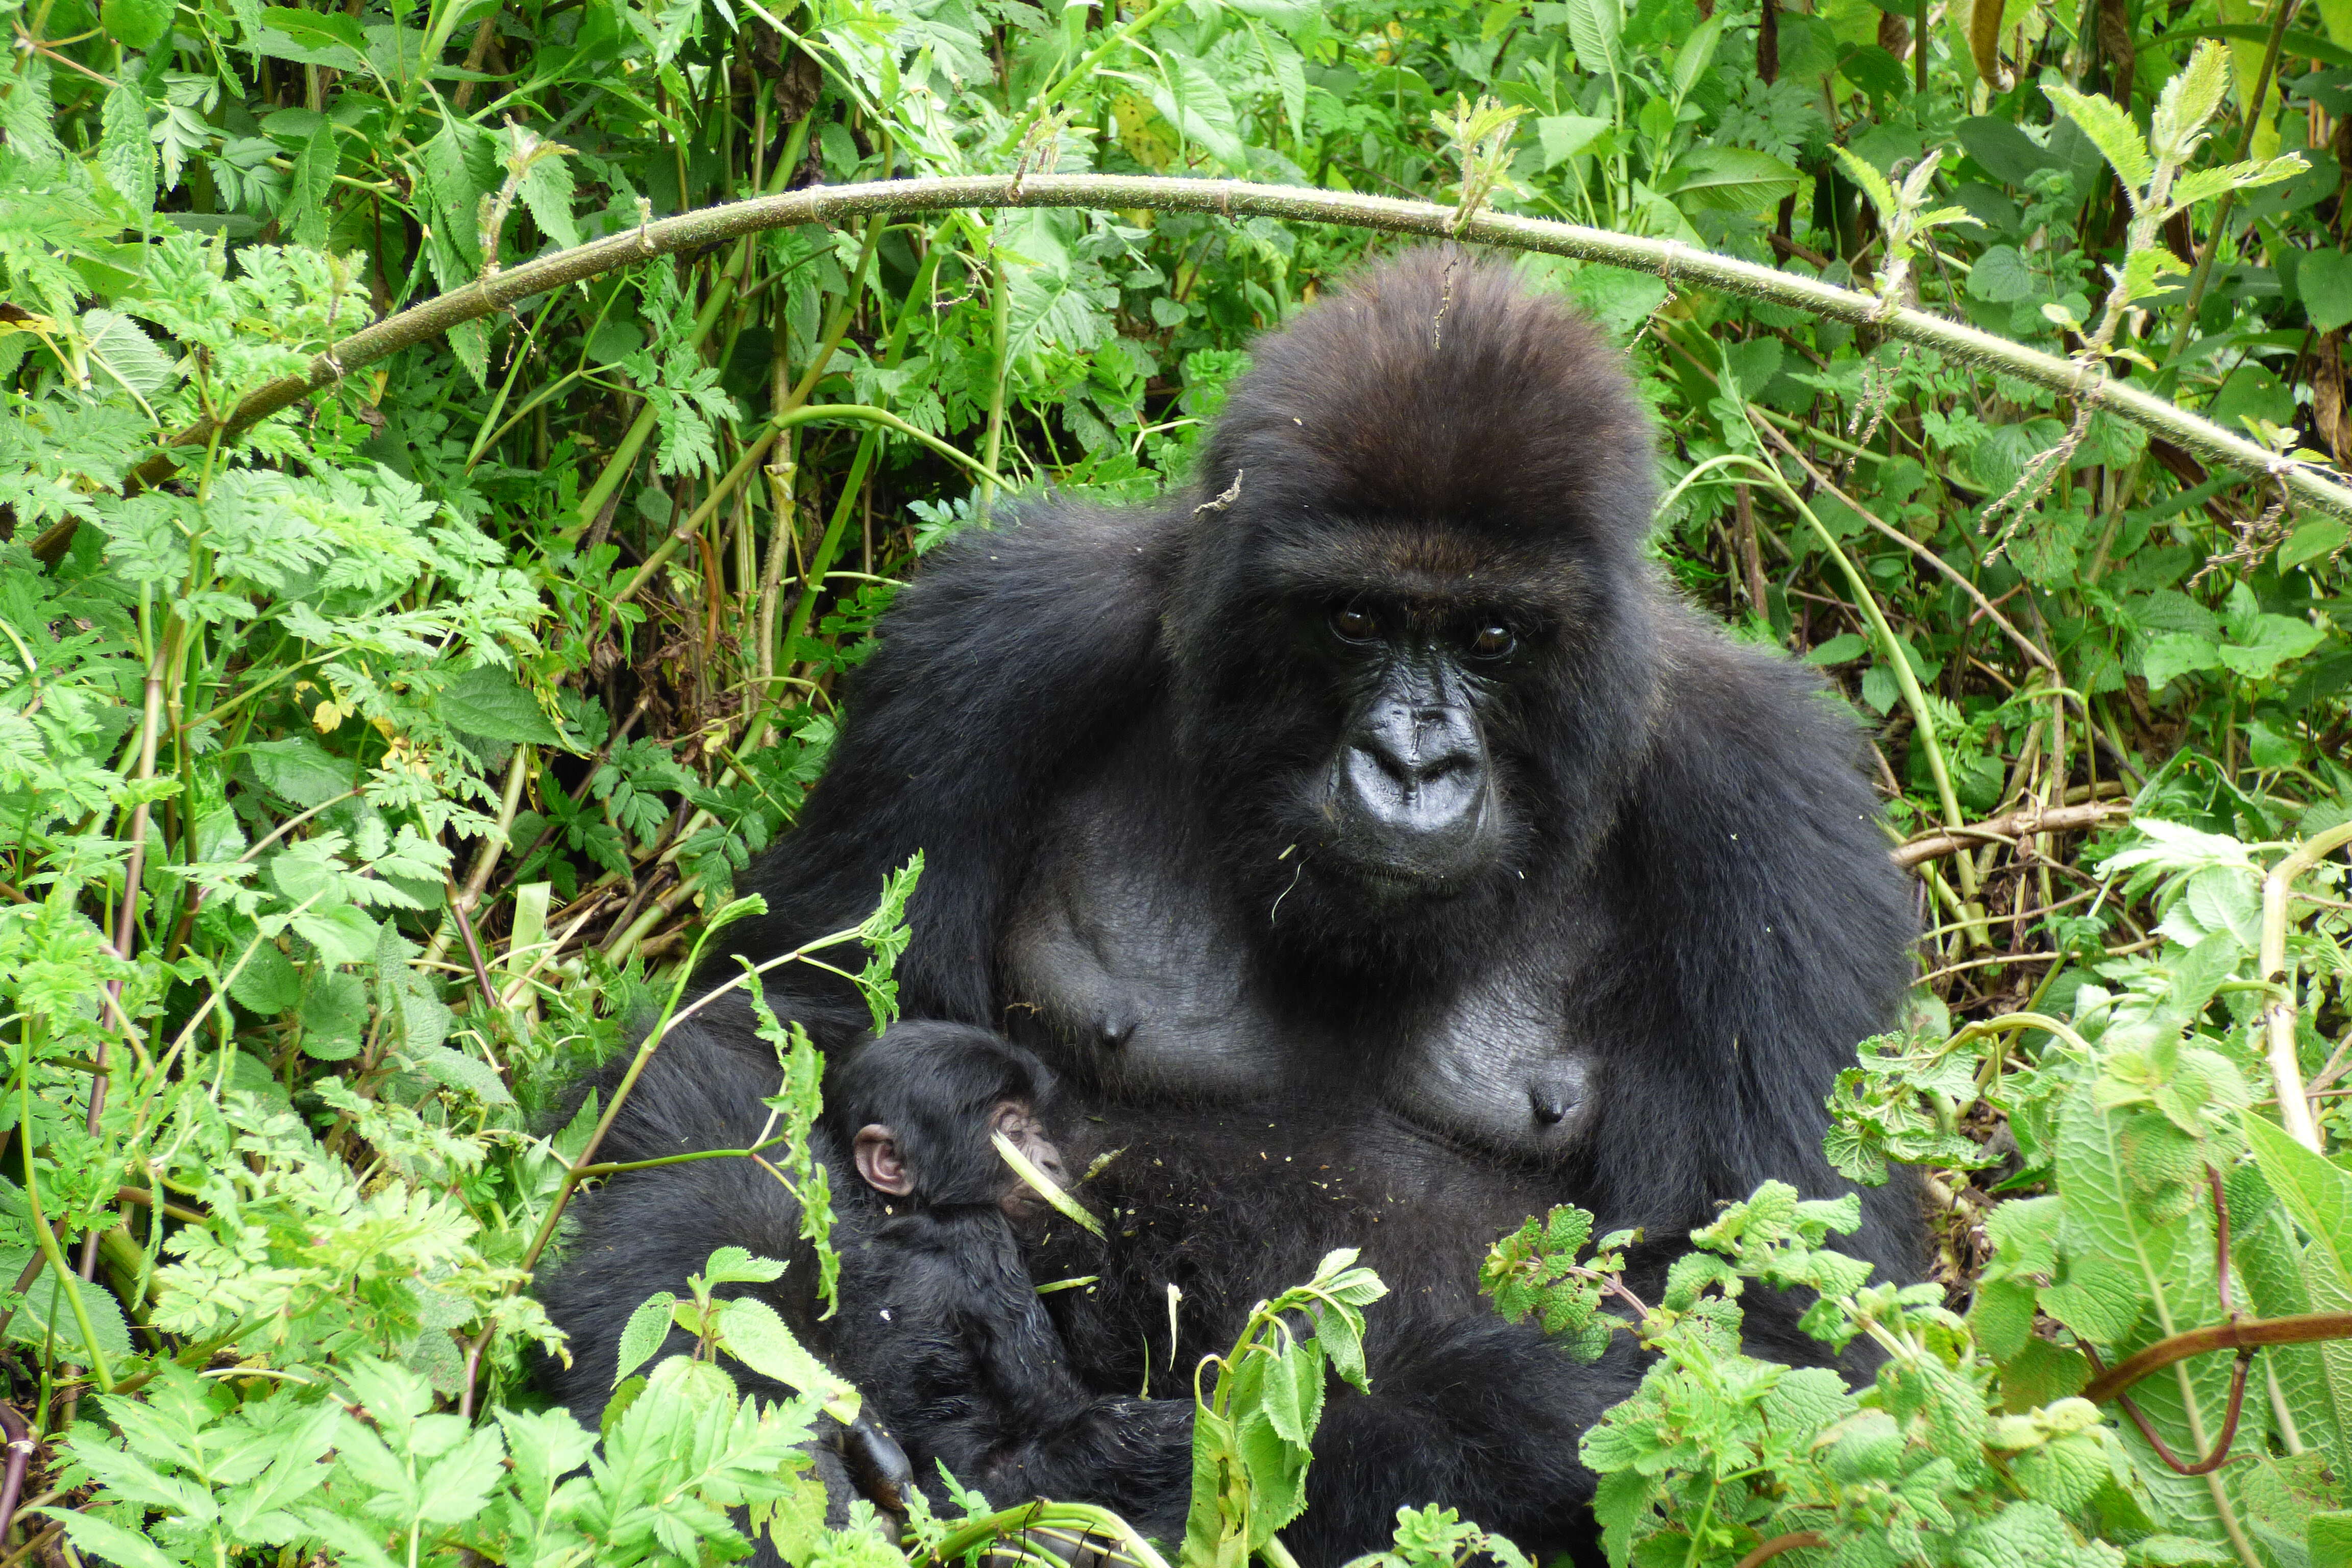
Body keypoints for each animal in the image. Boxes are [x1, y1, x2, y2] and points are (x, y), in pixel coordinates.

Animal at [828, 1020, 1194, 1523]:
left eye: (1037, 1127)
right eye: (1013, 1130)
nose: (1052, 1159)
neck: (893, 1209)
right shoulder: (982, 1240)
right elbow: (1054, 1404)